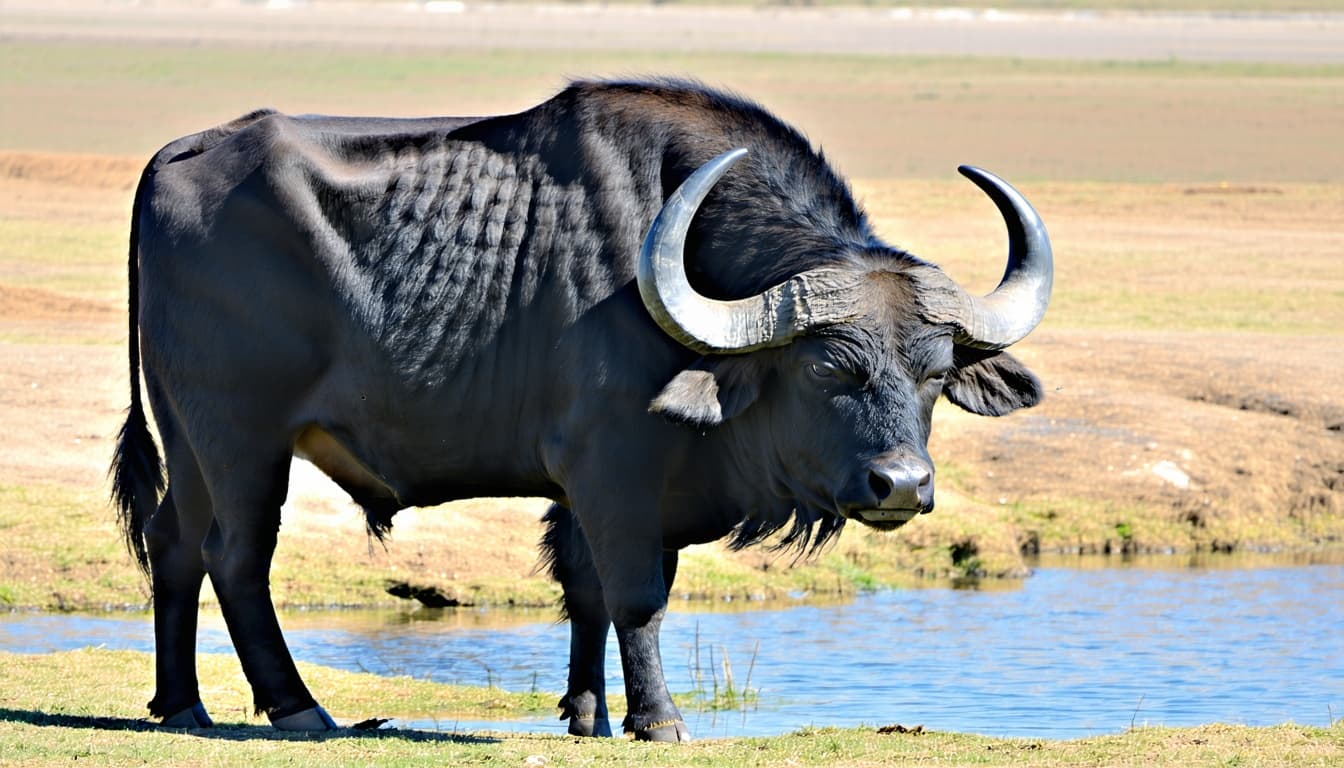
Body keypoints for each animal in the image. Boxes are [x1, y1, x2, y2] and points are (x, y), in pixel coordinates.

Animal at [111, 79, 1051, 741]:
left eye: (934, 371)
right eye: (827, 366)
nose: (902, 485)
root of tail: (178, 154)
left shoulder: (597, 490)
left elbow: (586, 591)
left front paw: (590, 712)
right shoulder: (616, 472)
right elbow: (637, 595)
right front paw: (659, 720)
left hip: (188, 438)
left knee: (173, 542)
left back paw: (181, 703)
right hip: (242, 439)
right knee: (238, 558)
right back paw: (298, 707)